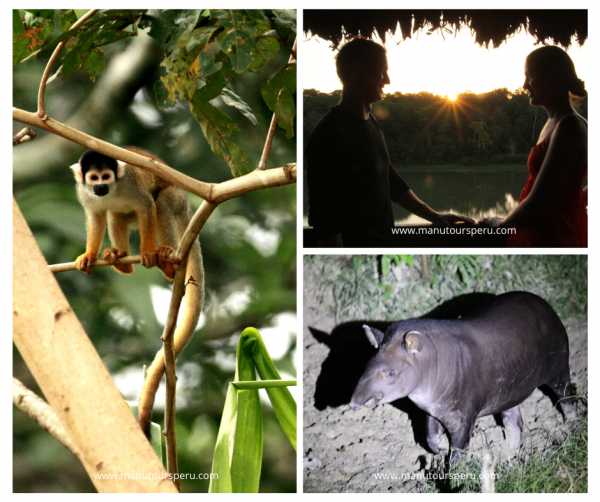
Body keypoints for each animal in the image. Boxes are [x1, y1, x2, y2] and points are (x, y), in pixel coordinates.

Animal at [71, 146, 204, 436]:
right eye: (94, 178)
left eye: (106, 176)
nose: (100, 188)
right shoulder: (84, 194)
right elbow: (96, 218)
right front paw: (89, 255)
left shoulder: (132, 186)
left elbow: (147, 207)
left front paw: (148, 253)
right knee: (115, 214)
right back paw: (120, 260)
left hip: (178, 201)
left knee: (162, 203)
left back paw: (167, 261)